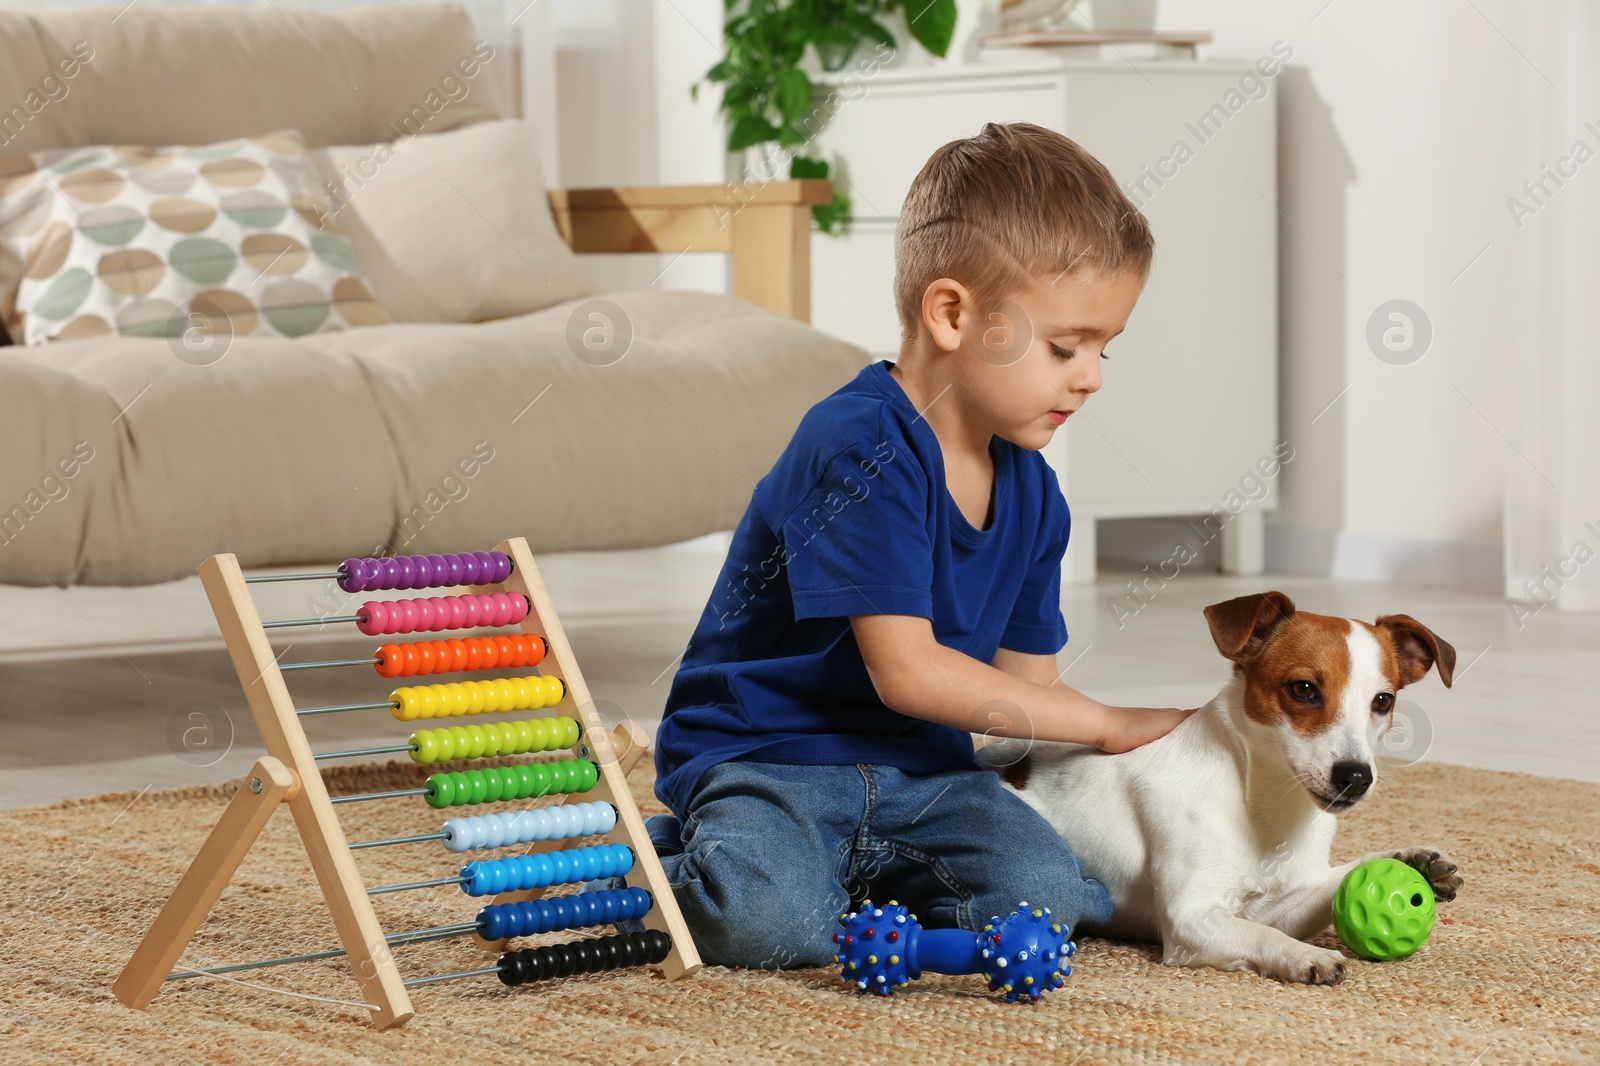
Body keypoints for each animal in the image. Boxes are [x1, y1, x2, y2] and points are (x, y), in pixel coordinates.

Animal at [972, 589, 1465, 979]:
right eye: (1303, 689)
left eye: (1383, 701)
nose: (1356, 776)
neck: (1261, 801)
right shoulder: (1191, 918)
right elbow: (1261, 936)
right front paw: (1304, 956)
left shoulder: (1275, 907)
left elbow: (1321, 892)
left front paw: (1410, 860)